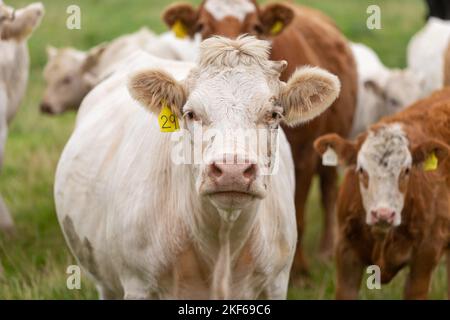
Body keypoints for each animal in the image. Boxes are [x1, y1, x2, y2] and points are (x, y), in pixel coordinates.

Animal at [53, 37, 342, 300]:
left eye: (273, 114)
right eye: (191, 113)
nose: (232, 171)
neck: (222, 243)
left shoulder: (277, 283)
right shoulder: (137, 284)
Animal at [163, 0, 356, 278]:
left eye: (255, 26)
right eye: (200, 26)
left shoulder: (305, 157)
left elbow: (299, 213)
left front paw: (299, 270)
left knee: (329, 190)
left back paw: (326, 250)